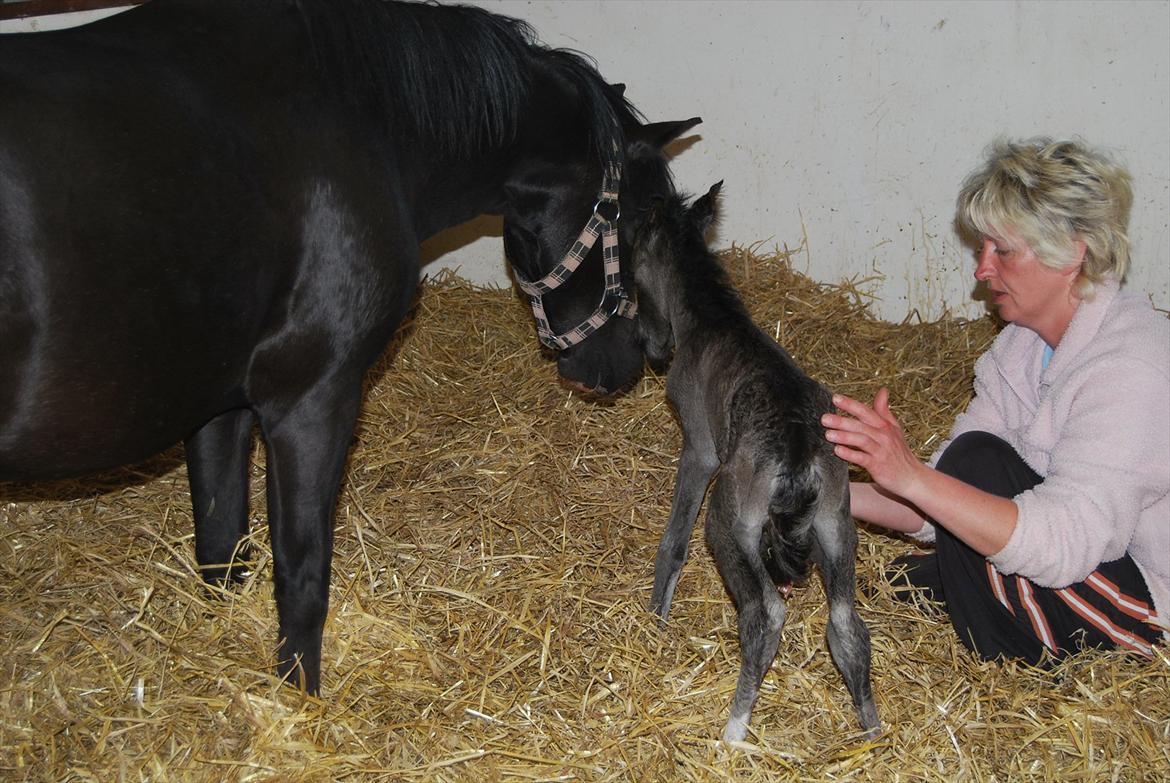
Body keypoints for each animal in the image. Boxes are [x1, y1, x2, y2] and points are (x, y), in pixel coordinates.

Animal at [631, 183, 879, 739]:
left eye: (633, 274)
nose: (653, 349)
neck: (712, 318)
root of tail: (799, 452)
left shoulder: (700, 450)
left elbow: (674, 540)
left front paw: (656, 619)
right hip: (837, 524)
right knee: (848, 626)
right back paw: (874, 735)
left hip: (730, 524)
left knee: (765, 616)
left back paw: (733, 733)